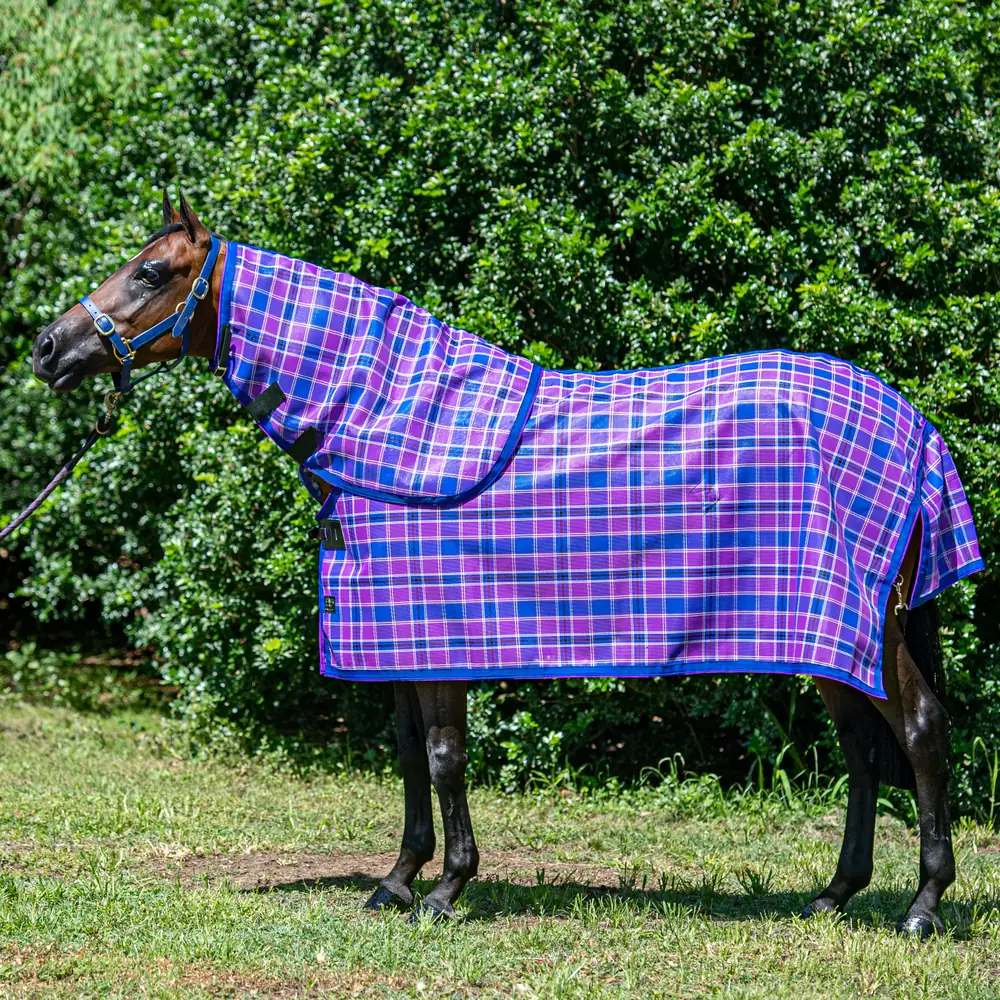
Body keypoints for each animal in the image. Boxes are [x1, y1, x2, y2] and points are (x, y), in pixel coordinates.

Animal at [30, 192, 983, 937]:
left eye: (151, 273)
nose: (47, 347)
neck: (384, 413)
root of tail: (913, 426)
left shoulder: (439, 635)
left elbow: (446, 756)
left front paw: (446, 890)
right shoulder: (400, 640)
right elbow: (410, 758)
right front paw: (396, 882)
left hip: (870, 624)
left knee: (920, 731)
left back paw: (923, 906)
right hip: (827, 633)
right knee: (861, 748)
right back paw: (834, 895)